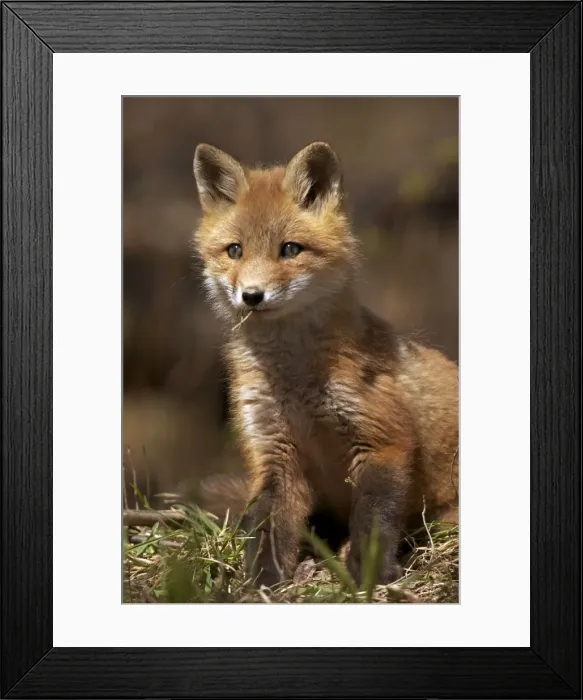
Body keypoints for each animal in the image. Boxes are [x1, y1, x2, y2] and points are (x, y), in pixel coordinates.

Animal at [192, 141, 459, 588]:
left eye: (289, 249)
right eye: (235, 250)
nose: (252, 295)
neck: (296, 383)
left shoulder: (383, 439)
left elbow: (373, 520)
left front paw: (369, 574)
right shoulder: (273, 452)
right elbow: (267, 527)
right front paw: (262, 583)